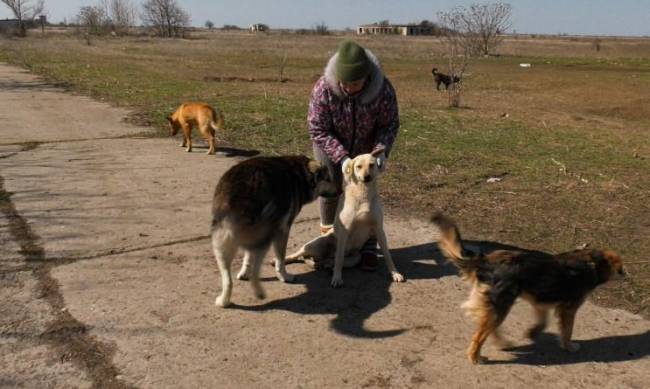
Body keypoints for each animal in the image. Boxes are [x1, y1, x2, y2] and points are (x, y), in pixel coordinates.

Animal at [430, 212, 624, 364]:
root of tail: (486, 261)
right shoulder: (568, 309)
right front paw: (569, 346)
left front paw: (532, 332)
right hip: (500, 305)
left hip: (495, 306)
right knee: (479, 336)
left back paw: (502, 344)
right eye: (620, 268)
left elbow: (543, 321)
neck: (592, 262)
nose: (625, 274)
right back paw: (475, 357)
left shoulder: (540, 301)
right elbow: (567, 330)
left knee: (488, 328)